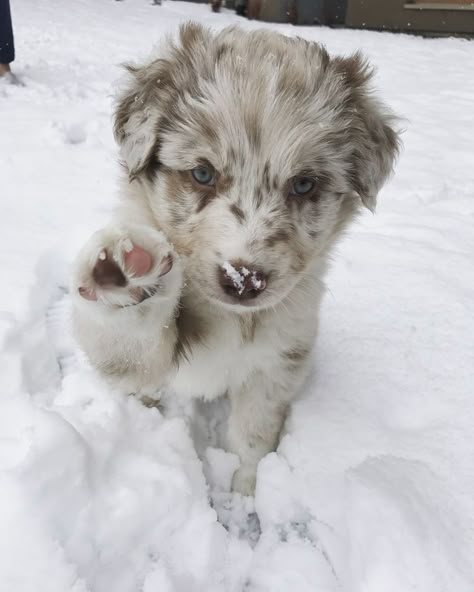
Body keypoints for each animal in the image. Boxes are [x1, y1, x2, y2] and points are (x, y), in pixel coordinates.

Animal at [72, 23, 398, 494]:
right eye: (202, 173)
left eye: (304, 184)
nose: (244, 280)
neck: (231, 318)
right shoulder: (144, 362)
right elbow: (131, 349)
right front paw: (127, 273)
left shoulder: (278, 359)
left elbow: (253, 436)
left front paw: (247, 492)